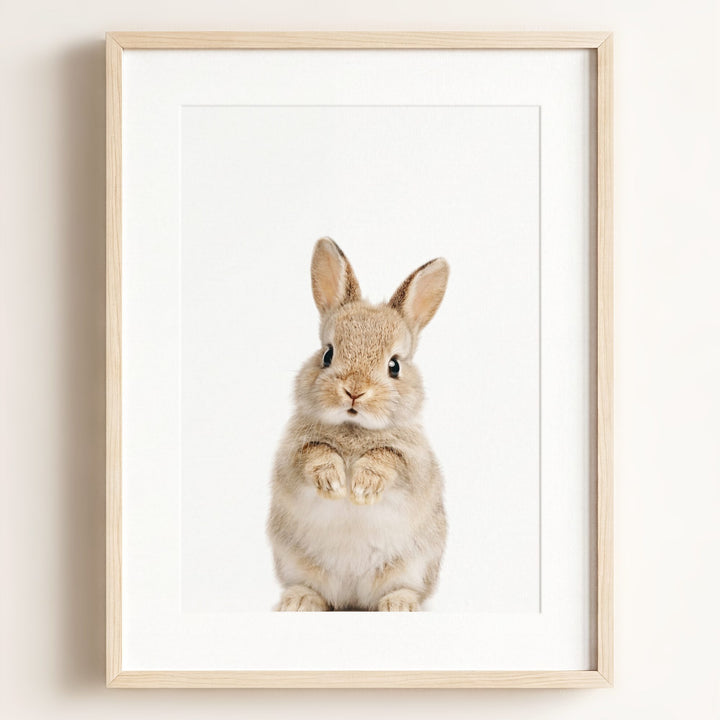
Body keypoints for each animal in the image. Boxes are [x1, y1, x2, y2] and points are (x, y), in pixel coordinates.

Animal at [267, 237, 449, 611]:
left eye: (394, 365)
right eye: (327, 354)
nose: (354, 391)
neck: (354, 429)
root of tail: (352, 597)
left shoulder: (413, 463)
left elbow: (386, 459)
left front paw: (362, 488)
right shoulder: (292, 455)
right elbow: (316, 454)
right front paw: (334, 483)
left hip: (413, 566)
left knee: (403, 588)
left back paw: (400, 605)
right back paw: (298, 601)